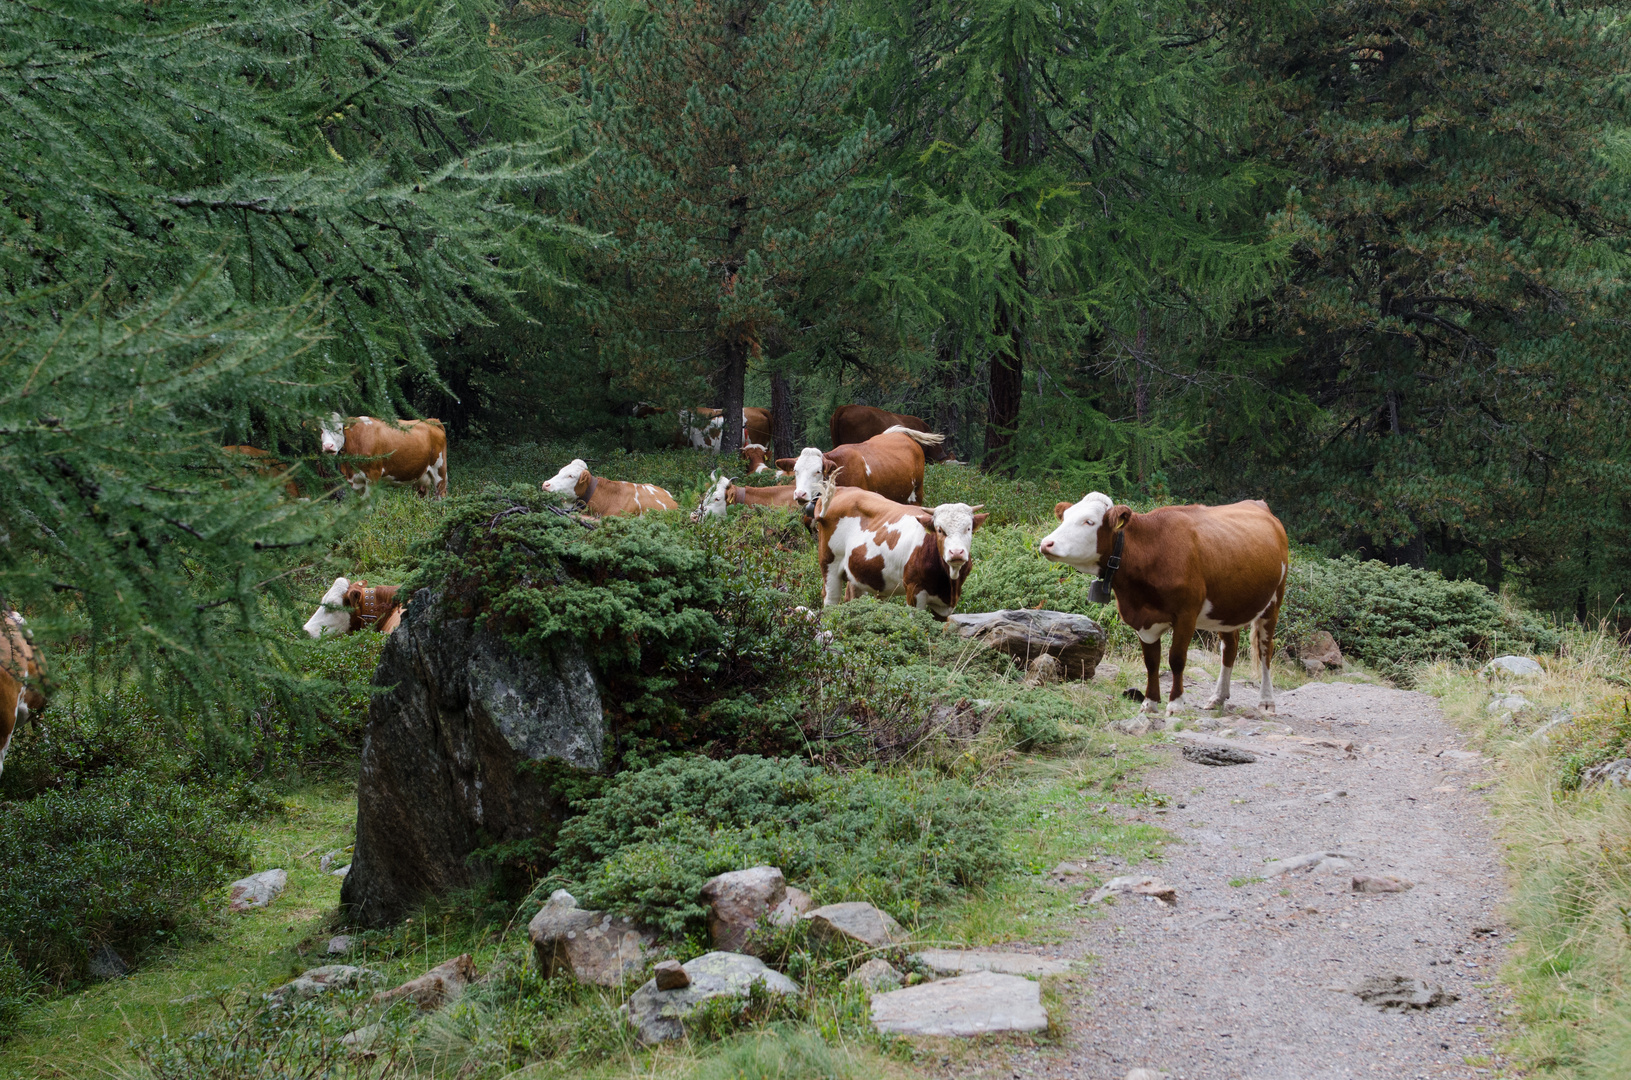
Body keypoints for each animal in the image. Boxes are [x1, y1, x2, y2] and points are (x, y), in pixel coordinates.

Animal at [808, 486, 985, 623]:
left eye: (968, 528)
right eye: (940, 530)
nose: (956, 552)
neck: (949, 582)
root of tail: (842, 489)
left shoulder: (945, 605)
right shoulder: (914, 590)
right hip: (829, 565)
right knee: (830, 599)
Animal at [1037, 492, 1291, 714]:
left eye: (1089, 522)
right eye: (1065, 517)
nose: (1046, 543)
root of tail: (1258, 504)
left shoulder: (1186, 614)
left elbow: (1176, 659)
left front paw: (1175, 704)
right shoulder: (1143, 619)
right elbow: (1151, 662)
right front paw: (1149, 703)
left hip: (1274, 601)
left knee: (1265, 649)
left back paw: (1266, 702)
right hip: (1227, 607)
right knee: (1230, 647)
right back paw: (1218, 698)